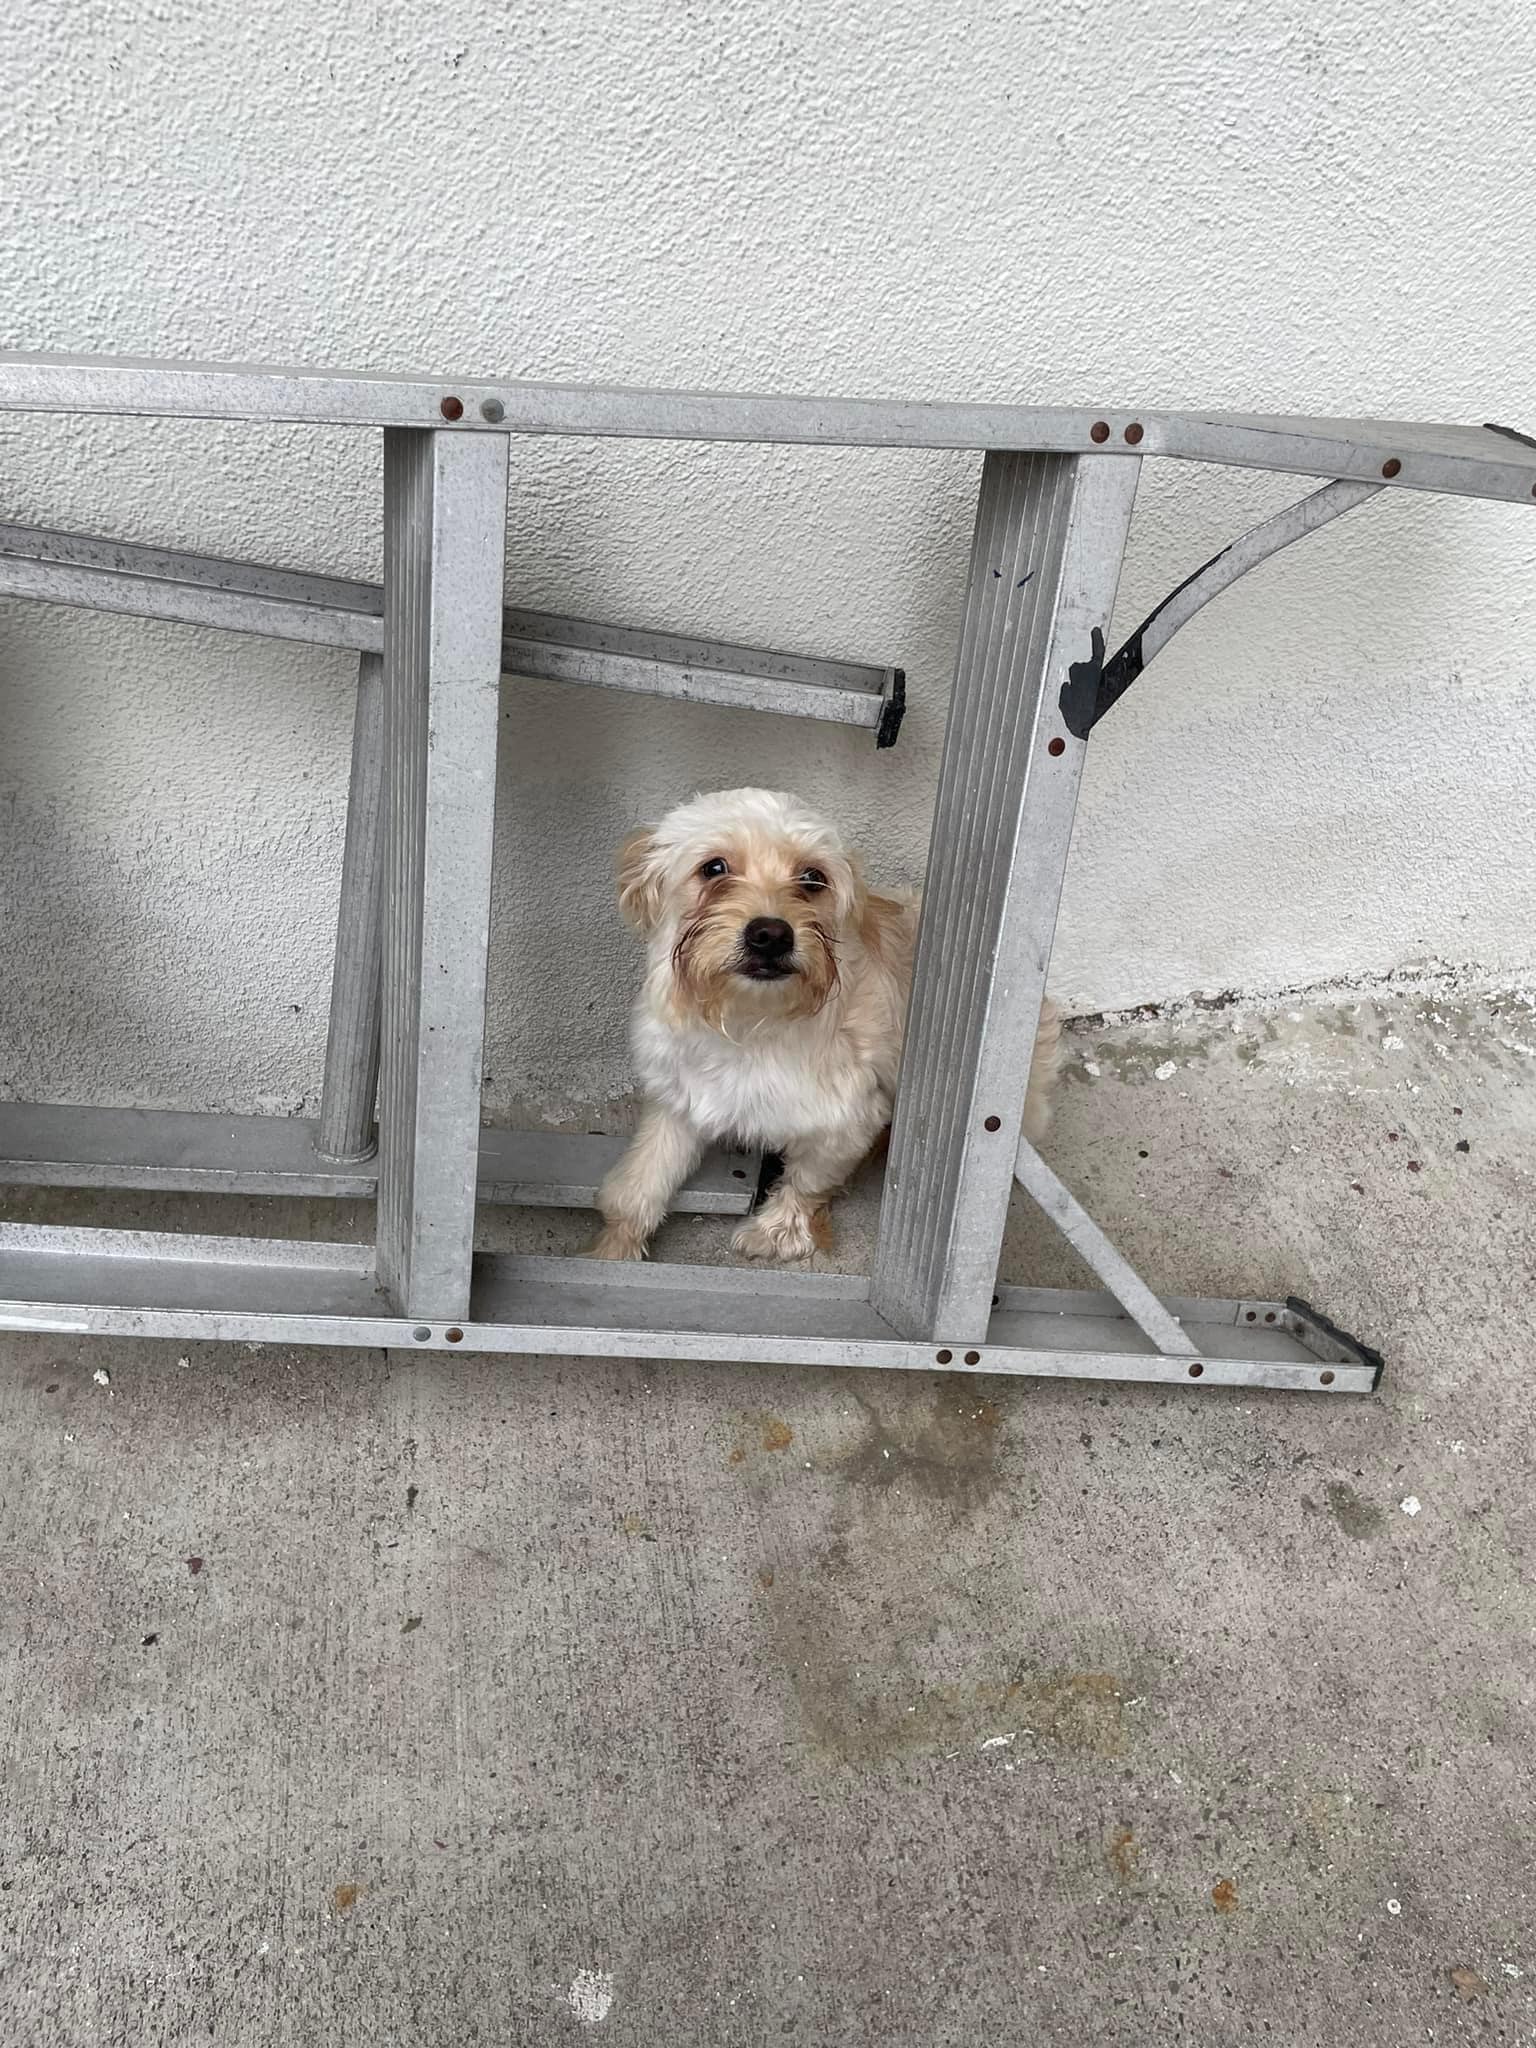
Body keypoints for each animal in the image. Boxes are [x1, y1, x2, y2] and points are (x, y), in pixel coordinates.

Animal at [581, 786, 1064, 1253]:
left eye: (813, 878)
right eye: (713, 868)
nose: (771, 935)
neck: (751, 1023)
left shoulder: (845, 1121)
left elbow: (806, 1182)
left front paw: (775, 1232)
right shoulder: (678, 1101)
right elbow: (638, 1188)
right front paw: (613, 1250)